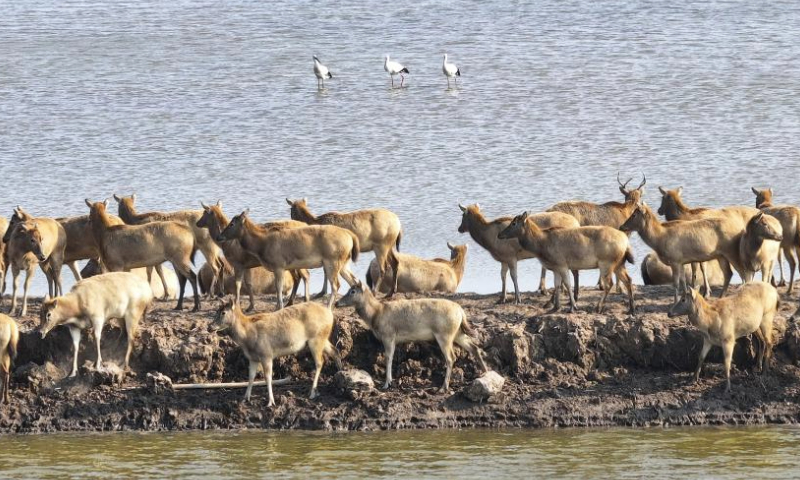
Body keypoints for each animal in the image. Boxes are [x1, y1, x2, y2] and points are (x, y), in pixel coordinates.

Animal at [209, 296, 340, 404]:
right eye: (216, 311)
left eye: (223, 312)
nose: (209, 326)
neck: (246, 339)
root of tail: (330, 314)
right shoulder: (252, 358)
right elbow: (251, 376)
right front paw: (245, 398)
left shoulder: (266, 354)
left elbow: (268, 378)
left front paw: (271, 402)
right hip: (323, 338)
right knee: (335, 352)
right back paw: (339, 372)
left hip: (316, 339)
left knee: (320, 362)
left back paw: (313, 392)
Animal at [216, 209, 360, 308]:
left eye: (232, 223)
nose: (219, 237)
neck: (262, 245)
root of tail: (351, 236)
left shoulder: (278, 265)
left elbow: (278, 287)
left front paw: (279, 306)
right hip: (344, 263)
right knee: (354, 280)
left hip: (332, 261)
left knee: (336, 285)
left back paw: (328, 307)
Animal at [336, 284, 490, 392]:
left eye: (352, 291)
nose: (337, 303)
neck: (375, 314)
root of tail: (461, 311)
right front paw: (389, 382)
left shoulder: (388, 335)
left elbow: (388, 358)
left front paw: (386, 384)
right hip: (457, 332)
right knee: (474, 347)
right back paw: (485, 372)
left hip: (444, 334)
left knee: (451, 357)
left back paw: (443, 387)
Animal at [496, 212, 636, 314]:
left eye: (514, 223)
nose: (499, 234)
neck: (540, 246)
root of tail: (626, 242)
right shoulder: (555, 268)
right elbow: (557, 285)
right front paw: (555, 307)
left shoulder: (562, 264)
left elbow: (568, 285)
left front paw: (573, 307)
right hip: (619, 263)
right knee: (628, 280)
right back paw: (631, 308)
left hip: (606, 263)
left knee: (609, 284)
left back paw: (598, 307)